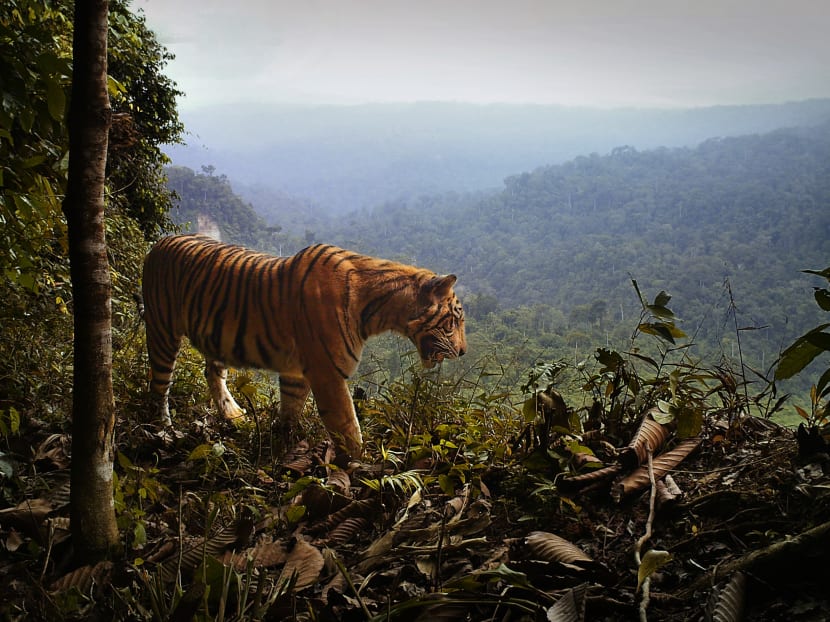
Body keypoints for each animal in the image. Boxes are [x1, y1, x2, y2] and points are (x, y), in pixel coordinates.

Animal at [141, 234, 466, 458]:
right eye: (455, 321)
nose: (463, 351)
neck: (379, 311)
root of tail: (160, 242)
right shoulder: (328, 374)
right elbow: (347, 426)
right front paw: (362, 465)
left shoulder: (296, 372)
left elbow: (291, 407)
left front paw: (282, 443)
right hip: (162, 332)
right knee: (158, 386)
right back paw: (163, 430)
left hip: (215, 338)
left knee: (211, 372)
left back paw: (233, 414)